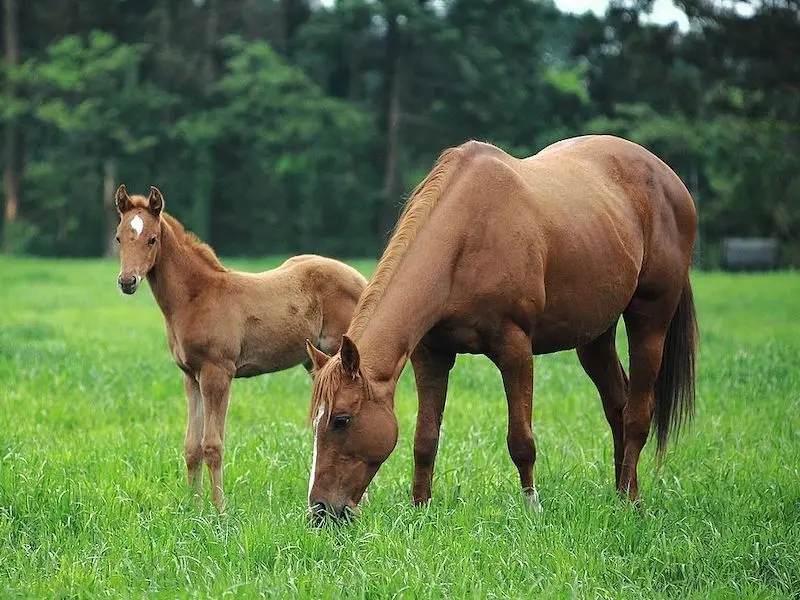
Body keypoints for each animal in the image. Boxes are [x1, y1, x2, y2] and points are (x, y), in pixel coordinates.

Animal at [114, 184, 368, 510]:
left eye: (152, 239)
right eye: (119, 237)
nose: (127, 281)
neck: (196, 297)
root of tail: (360, 279)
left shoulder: (217, 373)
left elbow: (212, 445)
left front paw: (220, 511)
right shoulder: (190, 377)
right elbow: (191, 447)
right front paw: (194, 510)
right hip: (317, 363)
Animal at [304, 136, 696, 524]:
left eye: (341, 420)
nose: (320, 510)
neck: (465, 239)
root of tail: (668, 178)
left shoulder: (515, 350)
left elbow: (521, 441)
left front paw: (532, 509)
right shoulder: (431, 355)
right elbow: (425, 439)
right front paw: (421, 509)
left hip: (650, 321)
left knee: (637, 414)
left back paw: (630, 501)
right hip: (594, 337)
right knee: (616, 406)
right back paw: (618, 495)